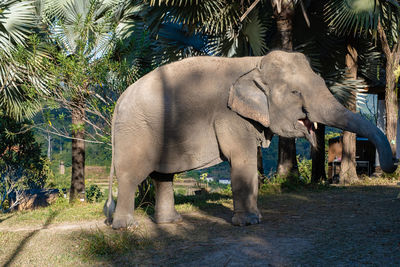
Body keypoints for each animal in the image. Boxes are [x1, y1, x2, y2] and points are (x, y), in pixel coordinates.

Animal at [104, 50, 396, 230]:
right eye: (295, 92)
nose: (390, 167)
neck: (253, 63)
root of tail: (119, 101)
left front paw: (256, 217)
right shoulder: (230, 115)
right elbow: (241, 159)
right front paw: (249, 223)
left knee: (163, 177)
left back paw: (170, 222)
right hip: (135, 132)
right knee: (131, 176)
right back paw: (126, 226)